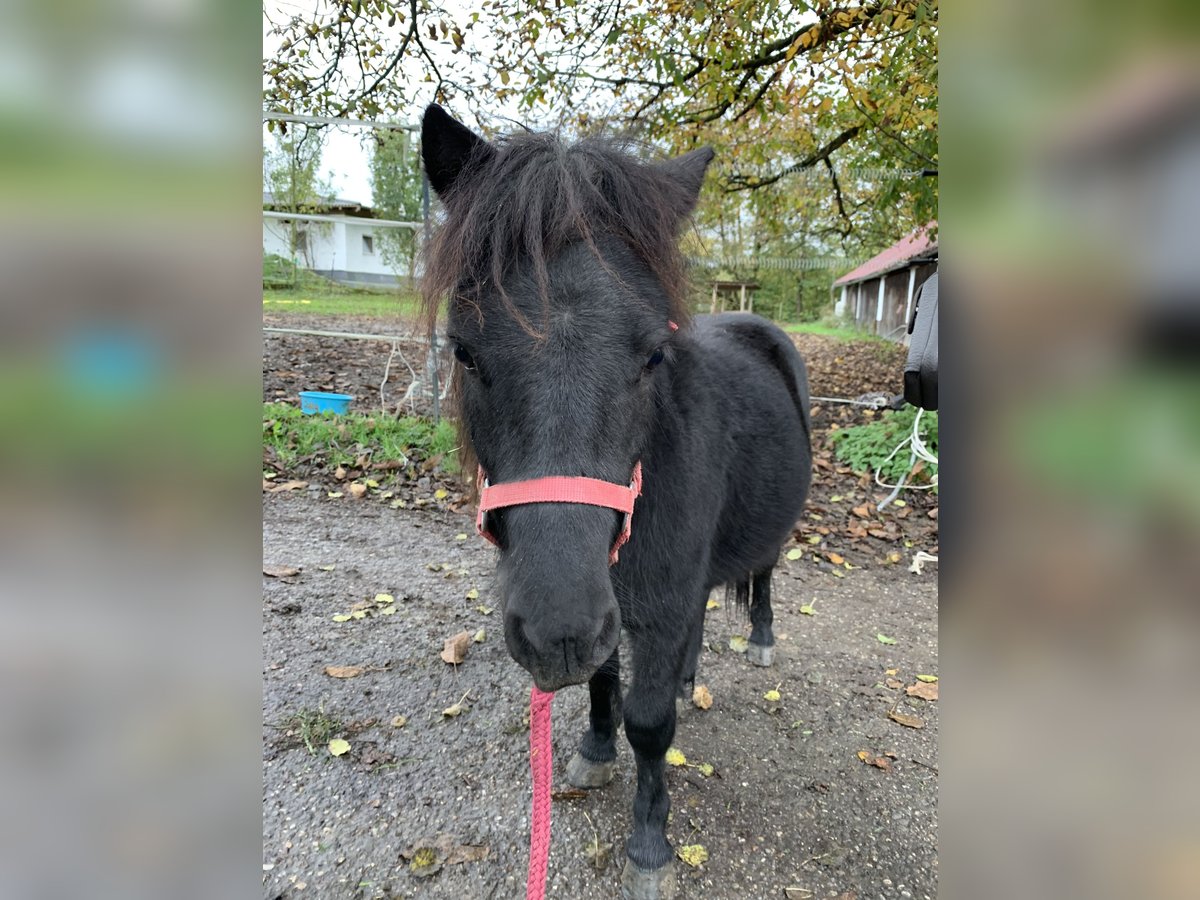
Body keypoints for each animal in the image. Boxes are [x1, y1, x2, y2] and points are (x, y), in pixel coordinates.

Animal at [424, 107, 816, 900]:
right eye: (465, 352)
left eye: (652, 355)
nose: (556, 632)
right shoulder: (613, 599)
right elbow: (606, 682)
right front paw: (596, 750)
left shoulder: (649, 605)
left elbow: (650, 723)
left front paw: (649, 847)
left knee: (761, 574)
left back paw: (759, 639)